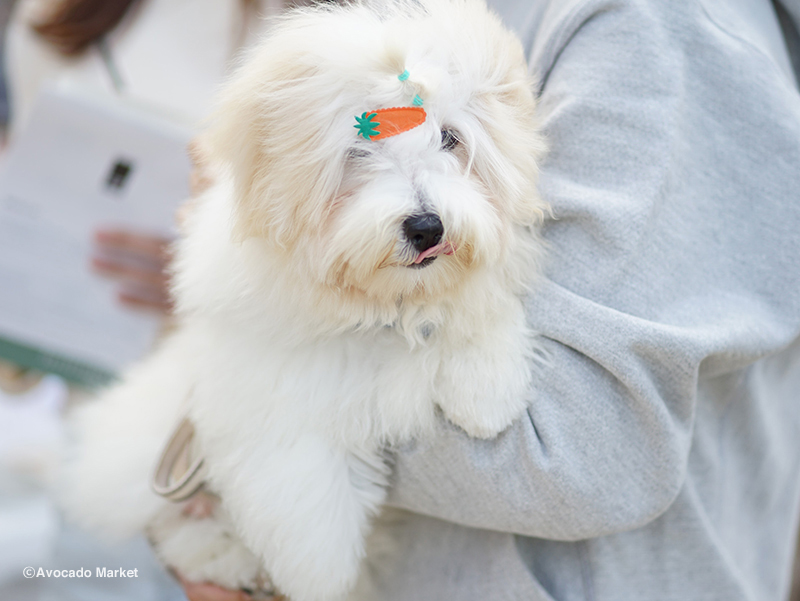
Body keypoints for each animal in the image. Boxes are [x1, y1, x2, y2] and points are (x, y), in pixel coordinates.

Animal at [59, 0, 548, 596]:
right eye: (359, 148)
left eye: (450, 138)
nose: (427, 226)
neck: (377, 301)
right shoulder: (263, 381)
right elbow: (300, 480)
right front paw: (322, 575)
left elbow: (475, 300)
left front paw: (487, 391)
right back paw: (222, 554)